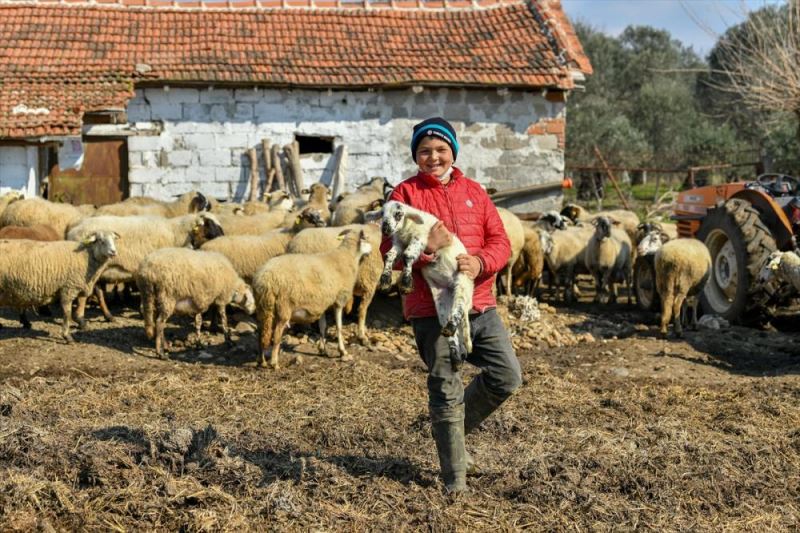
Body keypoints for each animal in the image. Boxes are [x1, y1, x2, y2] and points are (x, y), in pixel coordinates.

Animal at [252, 229, 374, 370]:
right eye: (366, 238)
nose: (371, 251)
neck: (347, 256)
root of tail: (264, 280)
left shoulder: (323, 303)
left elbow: (322, 327)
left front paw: (323, 349)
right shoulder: (339, 300)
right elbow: (339, 327)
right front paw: (342, 351)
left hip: (263, 308)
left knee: (260, 334)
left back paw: (261, 361)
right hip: (283, 307)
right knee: (276, 335)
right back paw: (274, 363)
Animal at [378, 200, 472, 366]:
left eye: (398, 214)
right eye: (382, 213)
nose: (385, 229)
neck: (406, 229)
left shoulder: (420, 238)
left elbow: (408, 256)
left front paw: (406, 284)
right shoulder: (398, 243)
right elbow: (389, 256)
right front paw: (385, 280)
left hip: (463, 282)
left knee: (459, 308)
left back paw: (451, 327)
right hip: (441, 298)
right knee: (448, 322)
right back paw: (455, 356)